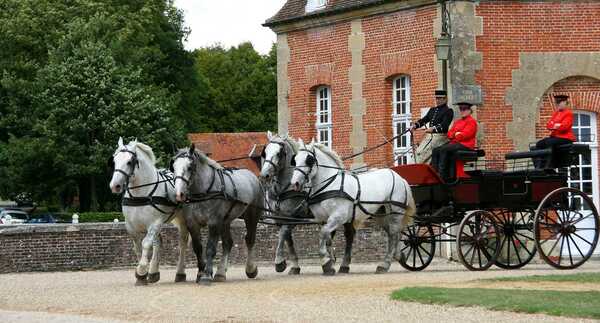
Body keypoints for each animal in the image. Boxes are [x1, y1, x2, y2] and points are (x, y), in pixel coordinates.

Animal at [170, 146, 262, 284]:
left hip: (251, 215)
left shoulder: (214, 222)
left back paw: (250, 269)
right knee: (228, 243)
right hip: (225, 221)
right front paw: (200, 272)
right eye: (173, 166)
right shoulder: (192, 223)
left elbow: (210, 248)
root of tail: (252, 175)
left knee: (249, 239)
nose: (179, 194)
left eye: (190, 166)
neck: (203, 192)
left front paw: (207, 274)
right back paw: (221, 273)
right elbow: (198, 248)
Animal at [290, 140, 412, 276]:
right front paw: (331, 262)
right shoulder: (322, 219)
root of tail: (399, 177)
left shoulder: (338, 217)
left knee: (394, 233)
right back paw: (398, 255)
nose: (294, 183)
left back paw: (385, 264)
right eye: (295, 159)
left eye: (309, 160)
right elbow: (327, 238)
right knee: (393, 233)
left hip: (395, 212)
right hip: (382, 214)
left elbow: (323, 233)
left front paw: (326, 263)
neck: (330, 184)